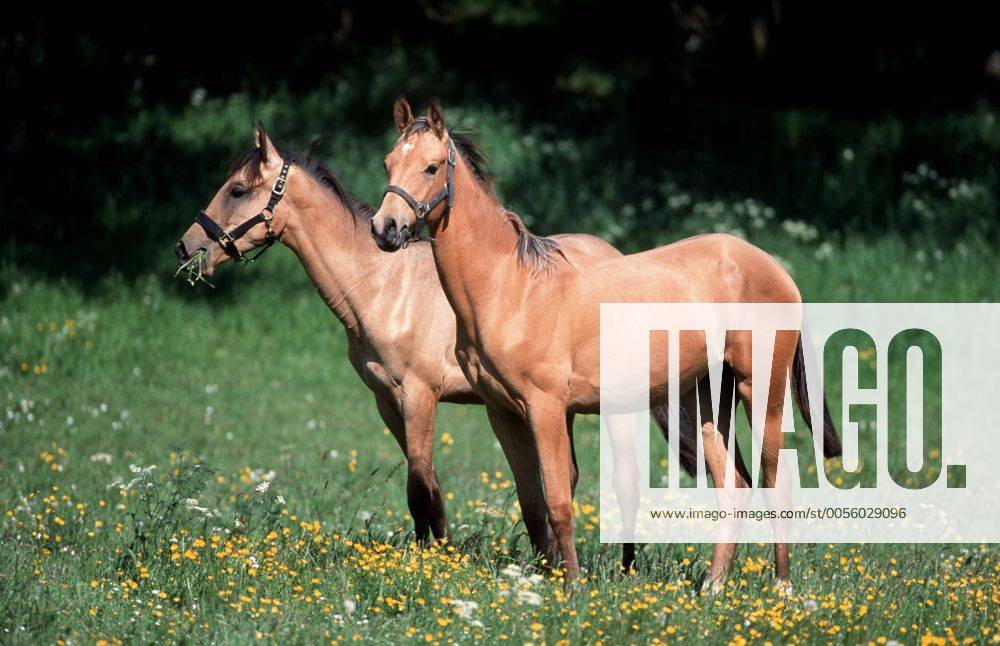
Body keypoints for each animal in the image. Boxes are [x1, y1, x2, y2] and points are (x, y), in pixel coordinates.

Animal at [174, 124, 685, 565]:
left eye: (237, 190)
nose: (186, 246)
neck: (382, 285)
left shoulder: (419, 396)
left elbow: (419, 492)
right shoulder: (388, 402)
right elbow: (431, 490)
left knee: (625, 482)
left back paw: (625, 569)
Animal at [370, 98, 842, 588]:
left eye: (431, 167)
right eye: (388, 162)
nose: (385, 228)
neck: (510, 288)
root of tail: (774, 267)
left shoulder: (546, 408)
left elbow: (559, 501)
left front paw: (573, 586)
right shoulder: (504, 414)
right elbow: (533, 504)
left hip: (761, 388)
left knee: (776, 481)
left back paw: (782, 585)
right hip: (709, 397)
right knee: (734, 485)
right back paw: (713, 587)